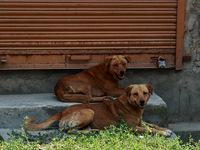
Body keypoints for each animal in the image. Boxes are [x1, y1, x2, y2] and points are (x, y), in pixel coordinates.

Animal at [25, 84, 172, 137]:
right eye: (135, 94)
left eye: (145, 93)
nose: (142, 101)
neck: (132, 106)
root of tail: (61, 112)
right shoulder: (133, 128)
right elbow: (150, 129)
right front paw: (163, 133)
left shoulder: (140, 123)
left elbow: (153, 125)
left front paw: (165, 129)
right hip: (90, 112)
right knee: (71, 131)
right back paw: (93, 131)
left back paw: (92, 130)